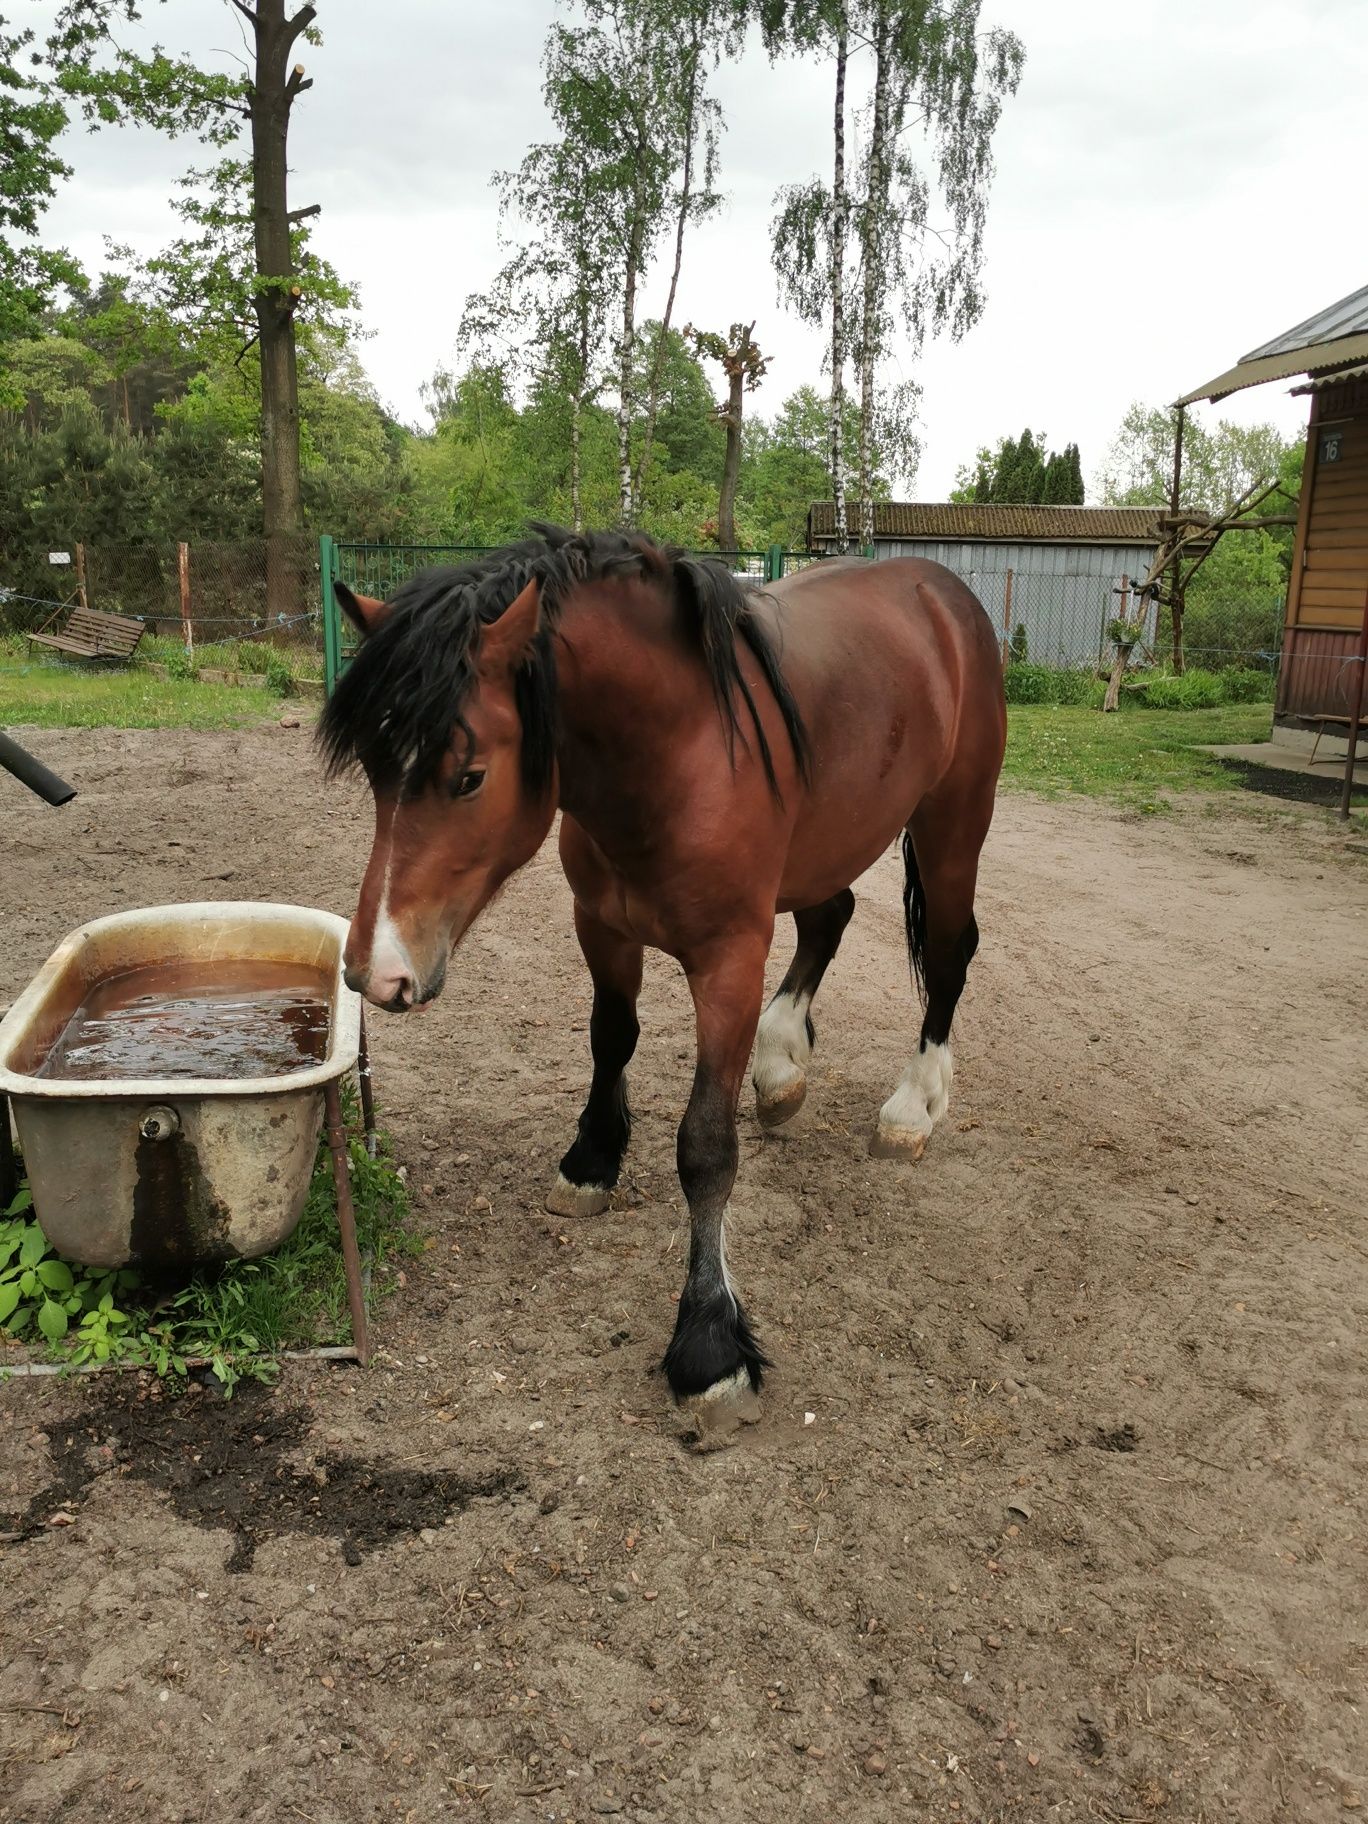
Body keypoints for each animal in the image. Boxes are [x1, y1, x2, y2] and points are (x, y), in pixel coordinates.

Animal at [321, 528, 1006, 1437]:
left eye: (468, 776)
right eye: (373, 767)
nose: (377, 970)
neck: (678, 752)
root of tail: (942, 592)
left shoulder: (728, 961)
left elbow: (706, 1148)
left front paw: (709, 1346)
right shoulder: (602, 927)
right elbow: (612, 1038)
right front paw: (591, 1160)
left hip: (952, 822)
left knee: (952, 953)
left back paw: (912, 1104)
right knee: (830, 917)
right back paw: (782, 1066)